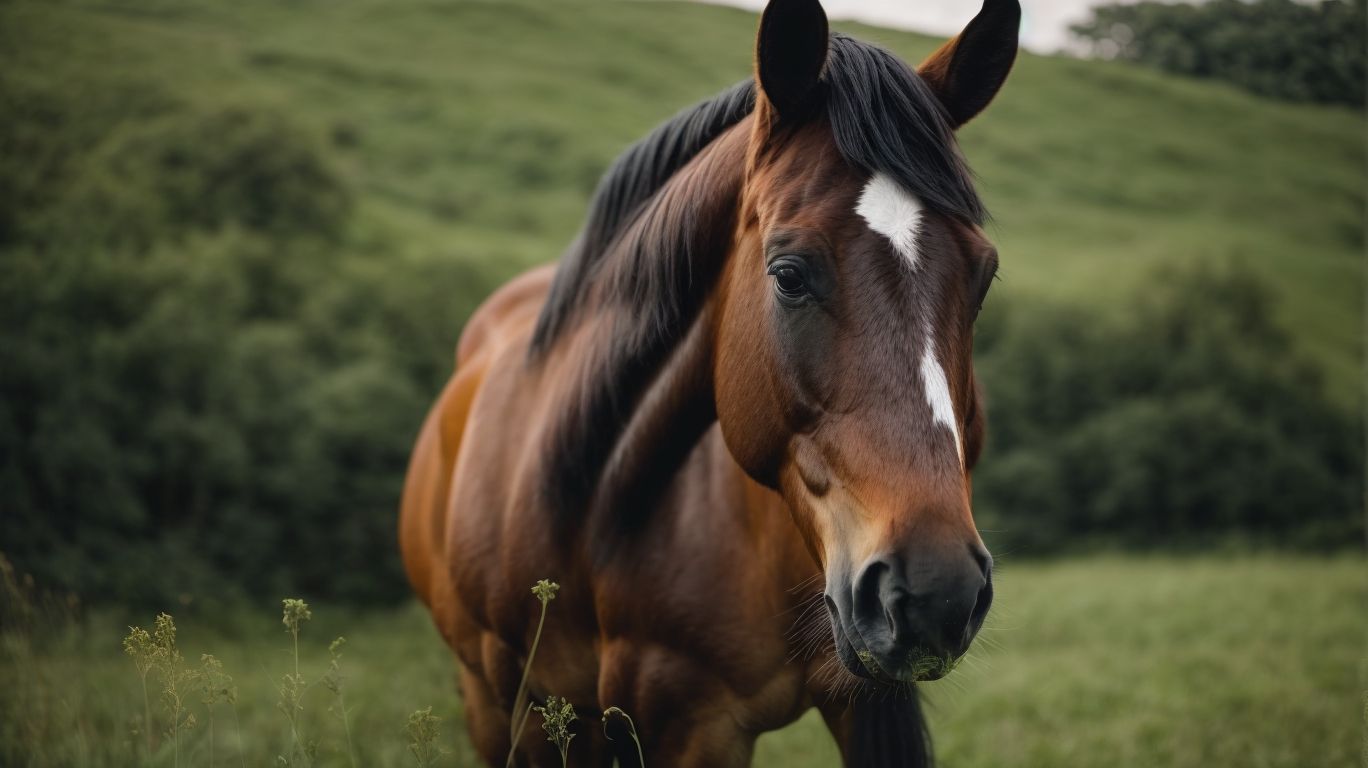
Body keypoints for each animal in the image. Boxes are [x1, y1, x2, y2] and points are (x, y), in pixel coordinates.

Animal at [399, 0, 1019, 764]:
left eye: (983, 277)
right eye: (788, 274)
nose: (937, 590)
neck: (593, 503)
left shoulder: (787, 708)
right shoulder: (562, 715)